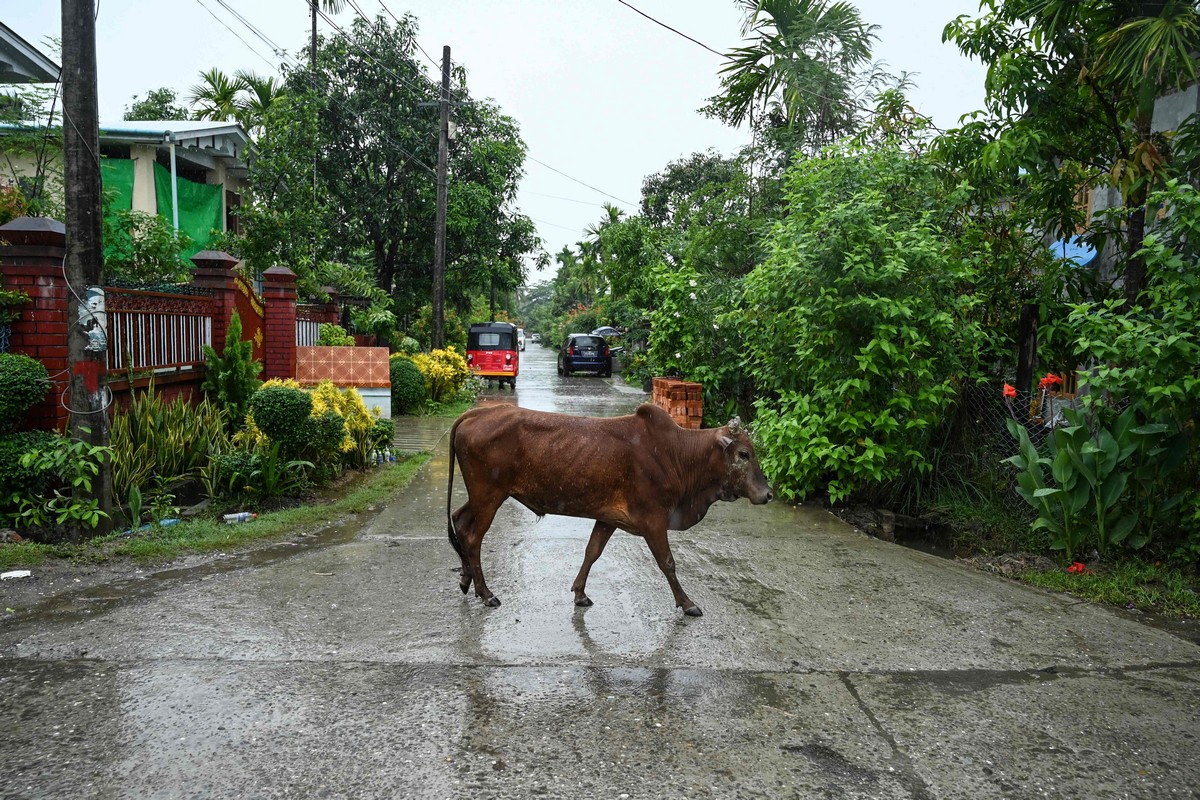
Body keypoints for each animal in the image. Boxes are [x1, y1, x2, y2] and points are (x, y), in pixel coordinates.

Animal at [446, 402, 772, 618]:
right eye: (744, 454)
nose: (768, 494)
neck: (676, 454)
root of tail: (475, 413)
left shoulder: (607, 518)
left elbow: (592, 552)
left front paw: (580, 593)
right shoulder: (653, 520)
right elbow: (667, 562)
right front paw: (687, 603)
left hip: (482, 497)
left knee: (459, 522)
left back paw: (465, 579)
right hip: (489, 496)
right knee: (472, 536)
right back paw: (486, 593)